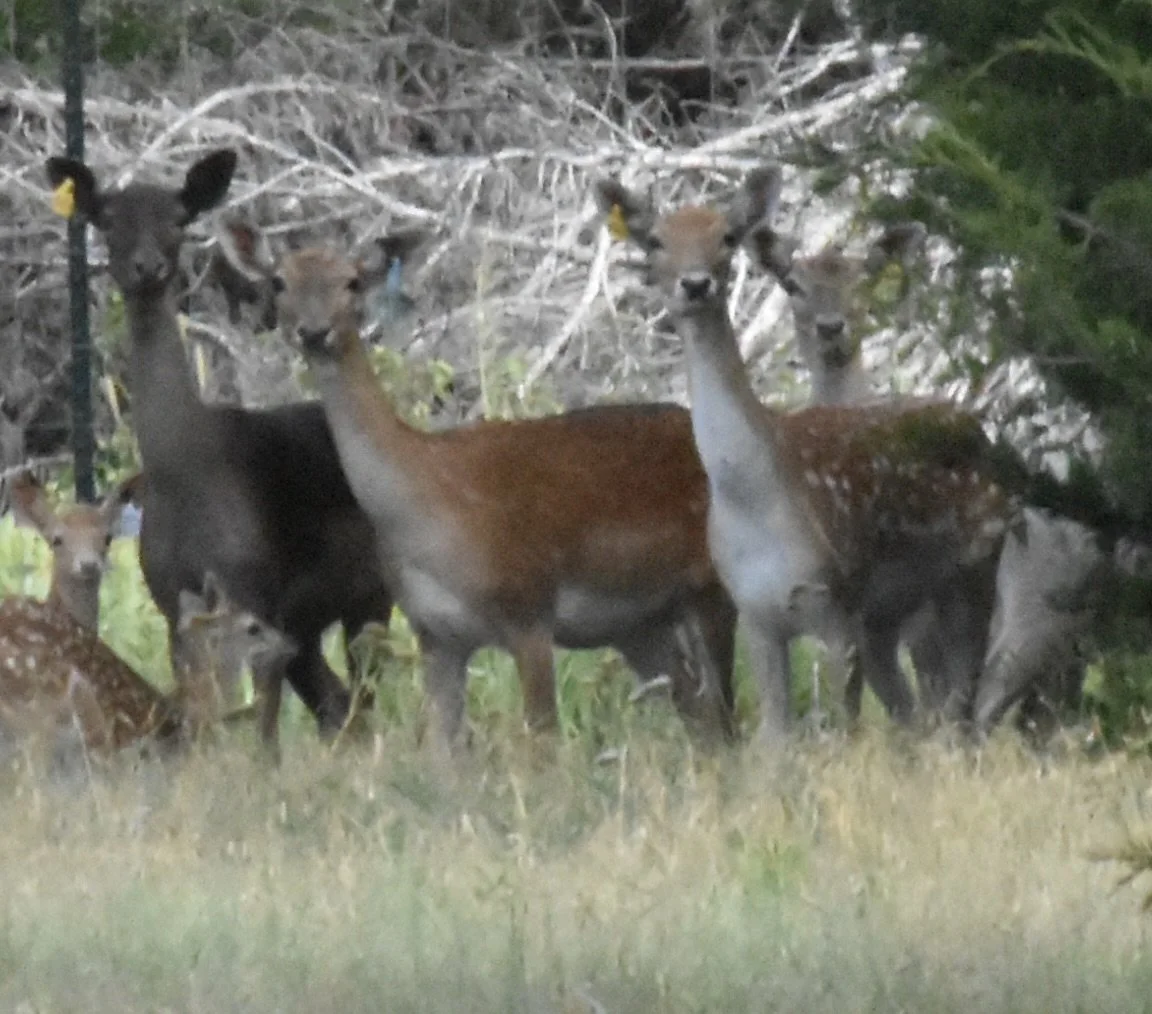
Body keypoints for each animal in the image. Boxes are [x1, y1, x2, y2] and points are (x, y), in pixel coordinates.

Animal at [44, 150, 394, 760]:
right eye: (107, 219)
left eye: (179, 218)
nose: (147, 266)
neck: (186, 471)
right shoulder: (171, 600)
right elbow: (202, 707)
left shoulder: (254, 586)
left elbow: (263, 722)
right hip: (308, 621)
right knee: (334, 702)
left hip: (374, 589)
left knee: (360, 693)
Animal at [211, 216, 740, 756]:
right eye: (279, 281)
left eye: (353, 281)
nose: (314, 331)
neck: (430, 504)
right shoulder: (434, 633)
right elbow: (441, 750)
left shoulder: (529, 608)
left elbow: (543, 740)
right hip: (640, 623)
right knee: (695, 708)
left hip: (714, 583)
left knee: (724, 712)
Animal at [595, 166, 1038, 745]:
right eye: (655, 241)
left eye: (727, 237)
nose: (695, 284)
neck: (755, 504)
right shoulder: (756, 616)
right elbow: (775, 740)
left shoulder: (835, 605)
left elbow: (844, 731)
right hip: (888, 615)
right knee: (922, 705)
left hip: (971, 569)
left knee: (962, 695)